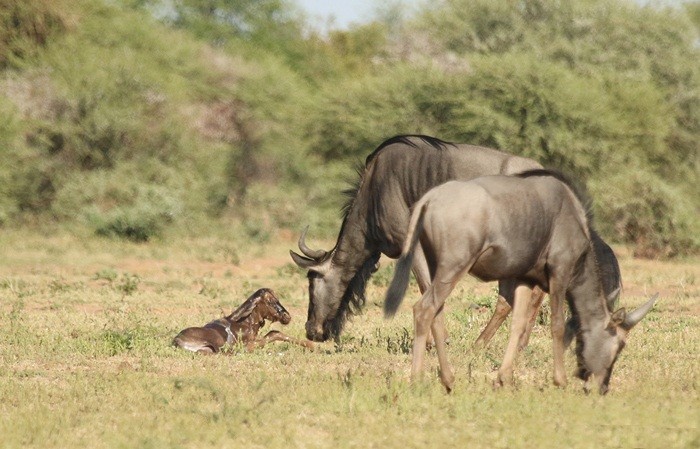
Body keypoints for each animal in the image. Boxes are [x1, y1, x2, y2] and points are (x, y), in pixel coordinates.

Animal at [172, 288, 312, 354]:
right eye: (270, 301)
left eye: (278, 299)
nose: (287, 316)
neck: (245, 322)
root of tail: (177, 340)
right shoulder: (246, 345)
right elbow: (274, 333)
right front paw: (311, 345)